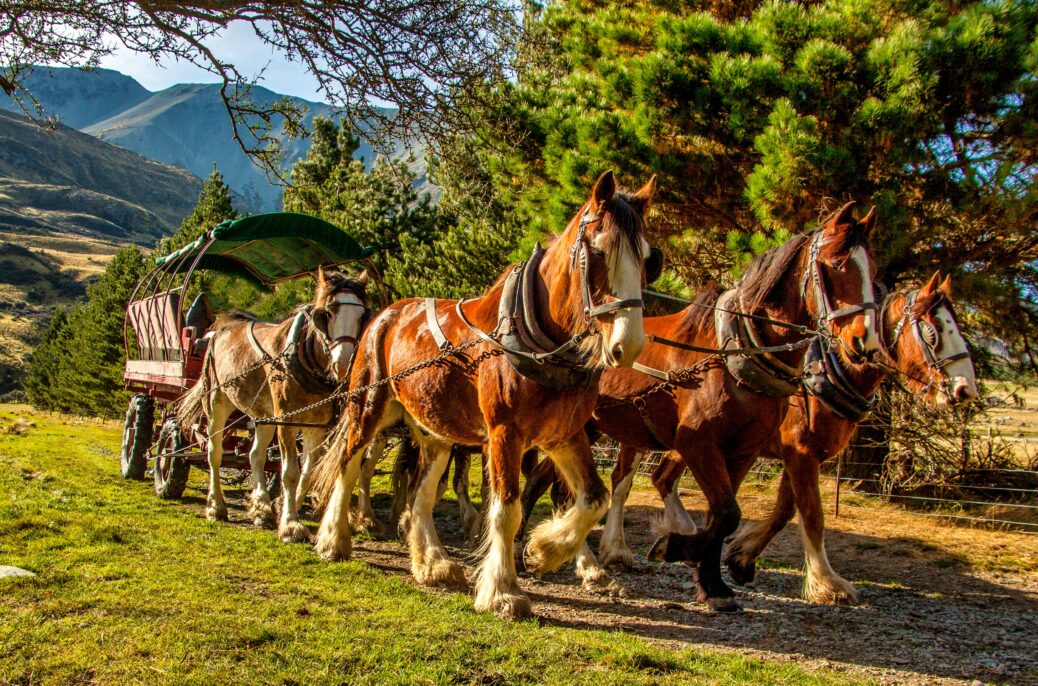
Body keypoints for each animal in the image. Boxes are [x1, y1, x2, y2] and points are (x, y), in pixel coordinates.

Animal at [177, 267, 369, 539]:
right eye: (327, 313)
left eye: (362, 315)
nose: (342, 364)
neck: (304, 358)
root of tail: (222, 325)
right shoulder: (286, 421)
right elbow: (290, 472)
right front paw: (290, 524)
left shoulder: (316, 426)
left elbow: (307, 472)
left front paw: (280, 509)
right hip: (216, 403)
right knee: (214, 453)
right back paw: (216, 506)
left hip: (263, 414)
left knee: (256, 455)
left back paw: (262, 509)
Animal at [311, 171, 656, 622]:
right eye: (598, 252)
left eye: (647, 258)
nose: (627, 345)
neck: (537, 338)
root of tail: (384, 315)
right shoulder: (505, 434)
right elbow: (507, 509)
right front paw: (503, 591)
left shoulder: (563, 435)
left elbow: (593, 499)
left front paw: (544, 551)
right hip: (367, 409)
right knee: (349, 467)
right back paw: (334, 540)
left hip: (436, 433)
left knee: (421, 495)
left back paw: (433, 564)